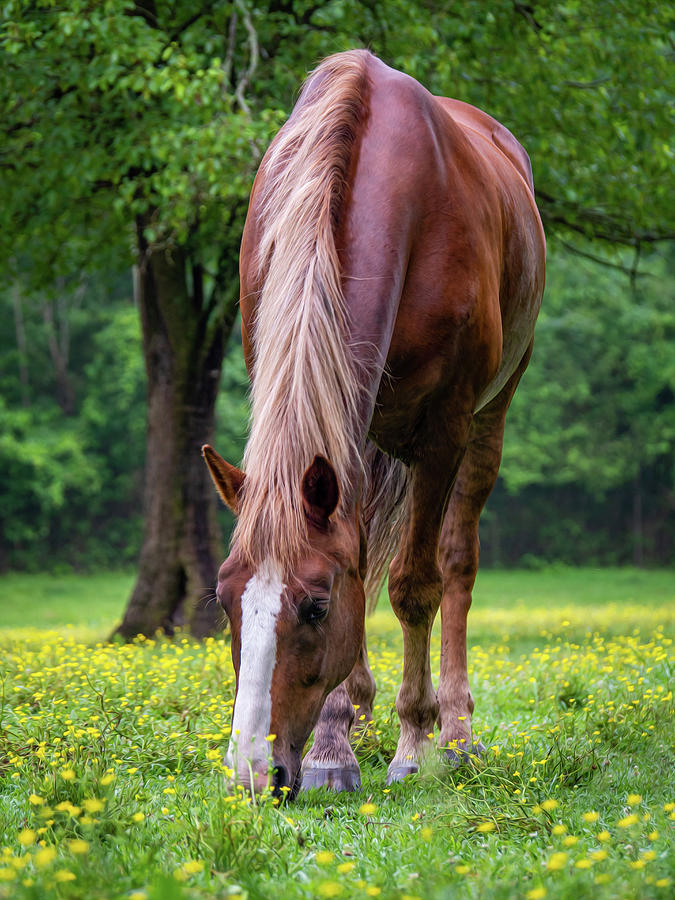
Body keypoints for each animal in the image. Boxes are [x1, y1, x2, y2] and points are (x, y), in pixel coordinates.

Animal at [203, 51, 548, 796]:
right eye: (222, 599)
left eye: (315, 606)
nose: (253, 774)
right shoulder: (341, 433)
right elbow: (358, 561)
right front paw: (335, 744)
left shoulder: (443, 430)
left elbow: (414, 586)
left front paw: (412, 742)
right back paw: (359, 715)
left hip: (486, 422)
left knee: (456, 563)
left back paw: (455, 732)